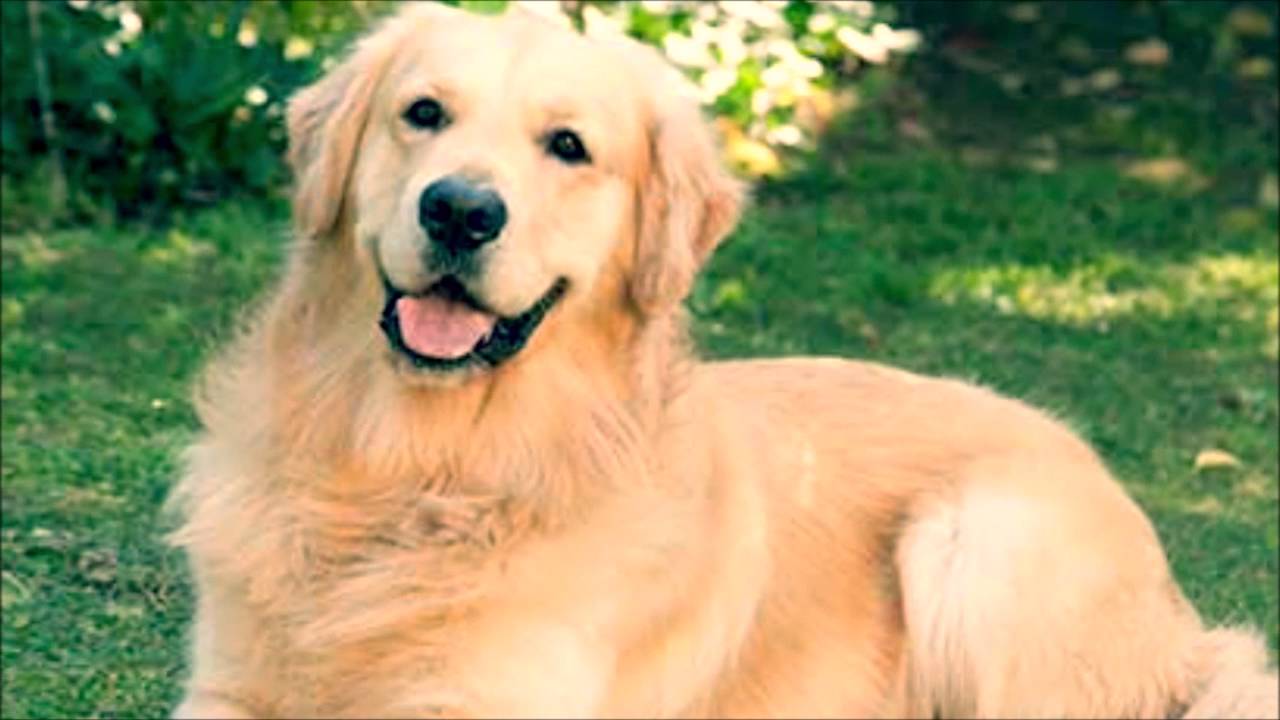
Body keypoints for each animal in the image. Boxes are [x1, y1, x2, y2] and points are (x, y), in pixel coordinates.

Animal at [168, 3, 1278, 718]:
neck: (414, 471)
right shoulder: (228, 689)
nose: (460, 211)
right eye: (423, 113)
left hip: (981, 542)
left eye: (567, 147)